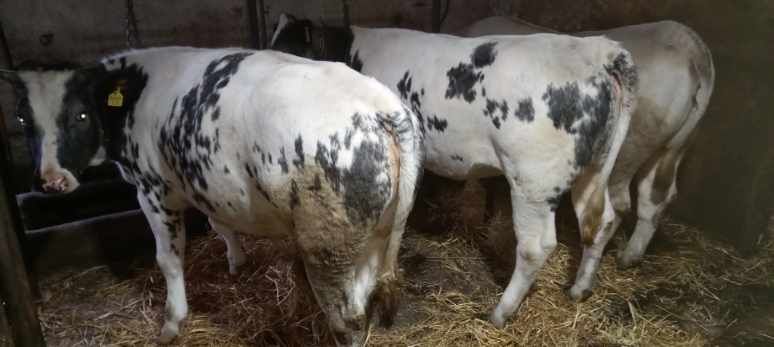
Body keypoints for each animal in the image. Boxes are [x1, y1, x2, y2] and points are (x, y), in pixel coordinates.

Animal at [0, 47, 424, 347]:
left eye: (82, 116)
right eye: (22, 119)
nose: (51, 181)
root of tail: (379, 106)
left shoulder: (152, 189)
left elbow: (168, 259)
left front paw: (173, 321)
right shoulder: (206, 180)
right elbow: (220, 222)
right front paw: (236, 261)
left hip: (326, 243)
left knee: (347, 317)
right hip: (376, 229)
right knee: (366, 289)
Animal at [270, 13, 640, 328]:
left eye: (290, 49)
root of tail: (596, 50)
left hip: (534, 179)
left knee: (535, 246)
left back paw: (500, 312)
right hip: (593, 166)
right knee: (601, 220)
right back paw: (580, 289)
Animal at [464, 16, 720, 270]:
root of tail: (693, 48)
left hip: (628, 151)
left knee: (619, 204)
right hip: (671, 146)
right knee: (655, 197)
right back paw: (629, 256)